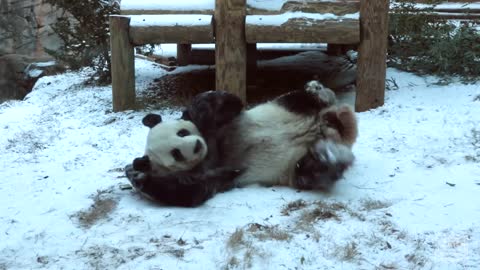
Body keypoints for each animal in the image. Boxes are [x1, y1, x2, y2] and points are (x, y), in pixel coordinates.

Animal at [125, 82, 358, 207]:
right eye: (176, 154)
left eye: (182, 132)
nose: (195, 147)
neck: (214, 149)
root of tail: (323, 127)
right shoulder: (207, 173)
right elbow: (190, 192)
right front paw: (137, 175)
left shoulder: (227, 122)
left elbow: (227, 101)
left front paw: (199, 116)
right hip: (292, 167)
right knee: (311, 171)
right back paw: (327, 155)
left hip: (285, 107)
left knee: (302, 98)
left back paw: (319, 91)